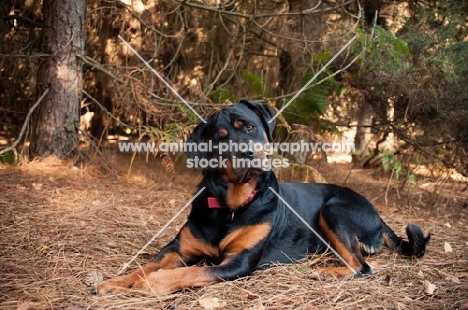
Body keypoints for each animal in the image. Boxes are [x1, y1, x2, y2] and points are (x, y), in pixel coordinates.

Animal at [92, 100, 432, 296]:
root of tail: (380, 218)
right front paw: (113, 282)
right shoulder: (178, 248)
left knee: (362, 266)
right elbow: (148, 264)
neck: (230, 207)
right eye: (220, 139)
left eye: (250, 127)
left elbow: (191, 271)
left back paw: (325, 272)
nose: (246, 152)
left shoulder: (239, 262)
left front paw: (156, 283)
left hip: (334, 209)